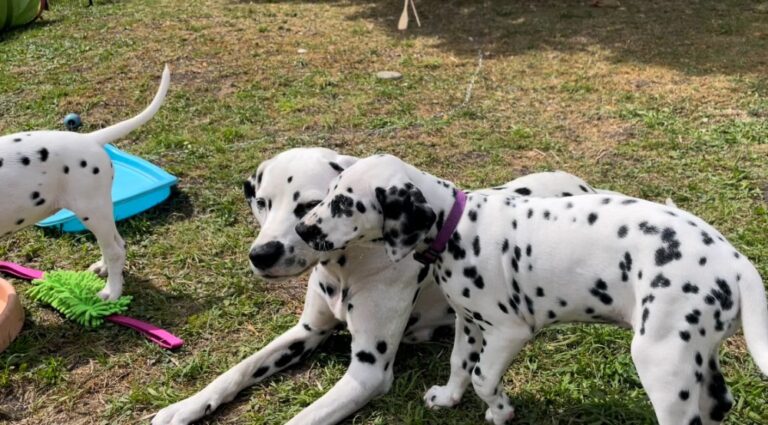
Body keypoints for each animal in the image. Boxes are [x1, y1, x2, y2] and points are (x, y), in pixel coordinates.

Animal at [0, 65, 170, 298]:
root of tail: (89, 138)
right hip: (101, 211)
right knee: (117, 242)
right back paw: (103, 268)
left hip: (91, 210)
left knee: (115, 251)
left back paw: (112, 292)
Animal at [150, 147, 612, 424]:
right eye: (262, 202)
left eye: (308, 203)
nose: (261, 254)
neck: (348, 268)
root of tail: (583, 184)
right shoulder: (305, 333)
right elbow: (239, 369)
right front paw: (185, 406)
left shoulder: (368, 371)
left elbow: (302, 418)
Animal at [296, 153, 768, 424]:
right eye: (329, 193)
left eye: (345, 203)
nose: (302, 229)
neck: (457, 225)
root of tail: (736, 261)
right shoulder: (469, 324)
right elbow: (459, 364)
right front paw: (448, 398)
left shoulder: (508, 331)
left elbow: (483, 376)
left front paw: (501, 411)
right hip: (694, 352)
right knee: (718, 403)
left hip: (661, 359)